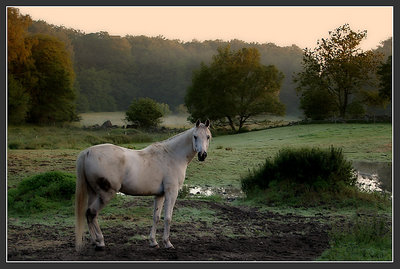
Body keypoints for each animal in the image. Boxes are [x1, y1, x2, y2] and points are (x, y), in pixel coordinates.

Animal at [76, 118, 212, 250]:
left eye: (208, 136)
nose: (202, 155)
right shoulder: (171, 192)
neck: (172, 155)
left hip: (93, 193)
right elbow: (168, 217)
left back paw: (94, 241)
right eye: (195, 136)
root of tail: (87, 152)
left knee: (88, 214)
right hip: (106, 194)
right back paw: (100, 242)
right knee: (92, 213)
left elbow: (156, 217)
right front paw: (167, 243)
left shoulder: (160, 195)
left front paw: (153, 242)